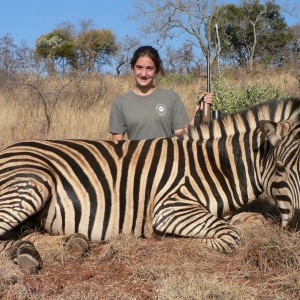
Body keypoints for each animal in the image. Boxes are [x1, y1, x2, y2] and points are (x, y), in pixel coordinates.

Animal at [0, 97, 298, 274]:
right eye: (280, 167)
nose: (297, 226)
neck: (214, 167)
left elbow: (255, 220)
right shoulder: (170, 207)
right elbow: (230, 235)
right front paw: (173, 240)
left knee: (27, 233)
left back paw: (57, 246)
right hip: (32, 184)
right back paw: (29, 253)